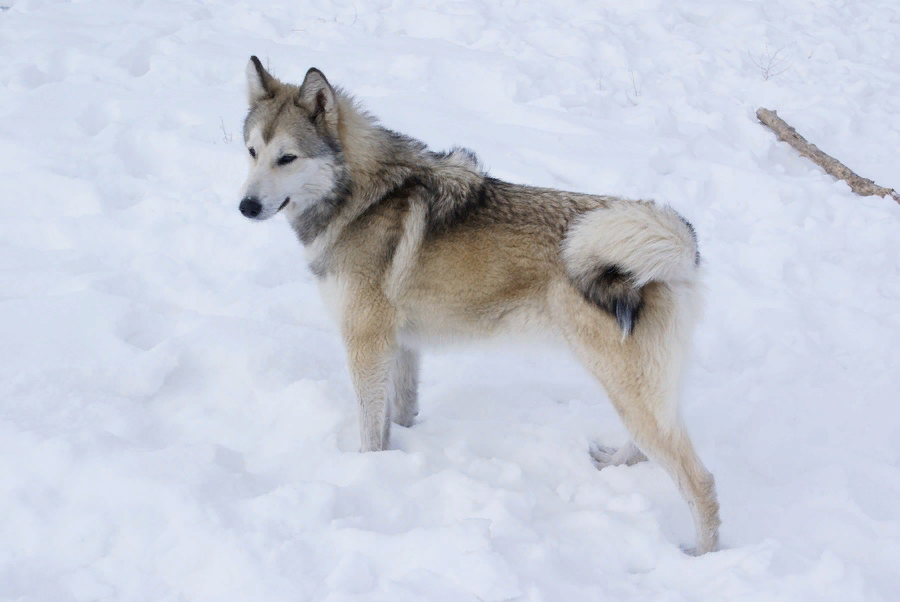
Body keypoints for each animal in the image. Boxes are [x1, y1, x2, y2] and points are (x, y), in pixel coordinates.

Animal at [236, 56, 720, 552]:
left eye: (287, 157)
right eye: (252, 151)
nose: (245, 206)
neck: (361, 198)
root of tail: (680, 249)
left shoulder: (365, 344)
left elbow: (371, 430)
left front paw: (368, 472)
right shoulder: (400, 346)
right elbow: (399, 412)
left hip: (626, 387)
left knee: (700, 481)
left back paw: (699, 554)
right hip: (637, 390)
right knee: (648, 446)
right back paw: (613, 464)